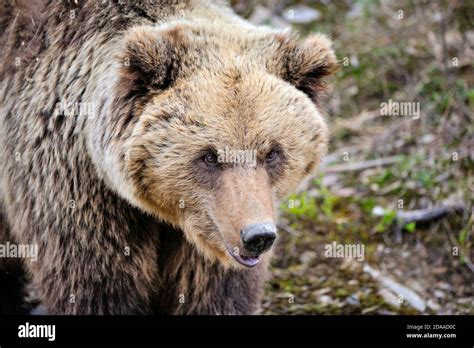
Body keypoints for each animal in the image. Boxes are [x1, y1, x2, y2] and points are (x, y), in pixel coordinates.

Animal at [0, 0, 336, 316]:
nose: (257, 236)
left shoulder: (211, 225)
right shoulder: (73, 183)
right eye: (209, 156)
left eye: (272, 152)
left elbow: (213, 288)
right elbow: (98, 282)